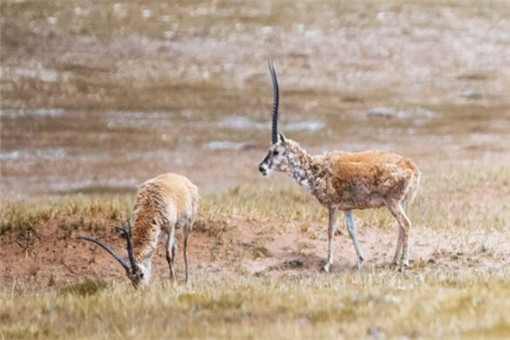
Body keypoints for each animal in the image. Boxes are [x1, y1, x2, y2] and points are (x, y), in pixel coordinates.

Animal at [256, 62, 420, 272]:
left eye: (275, 151)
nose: (262, 168)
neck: (318, 169)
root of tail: (412, 167)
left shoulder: (333, 206)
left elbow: (330, 231)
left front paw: (327, 264)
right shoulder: (347, 208)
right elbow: (351, 230)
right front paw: (360, 259)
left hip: (393, 203)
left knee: (405, 224)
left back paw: (403, 263)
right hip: (400, 203)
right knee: (401, 227)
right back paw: (393, 261)